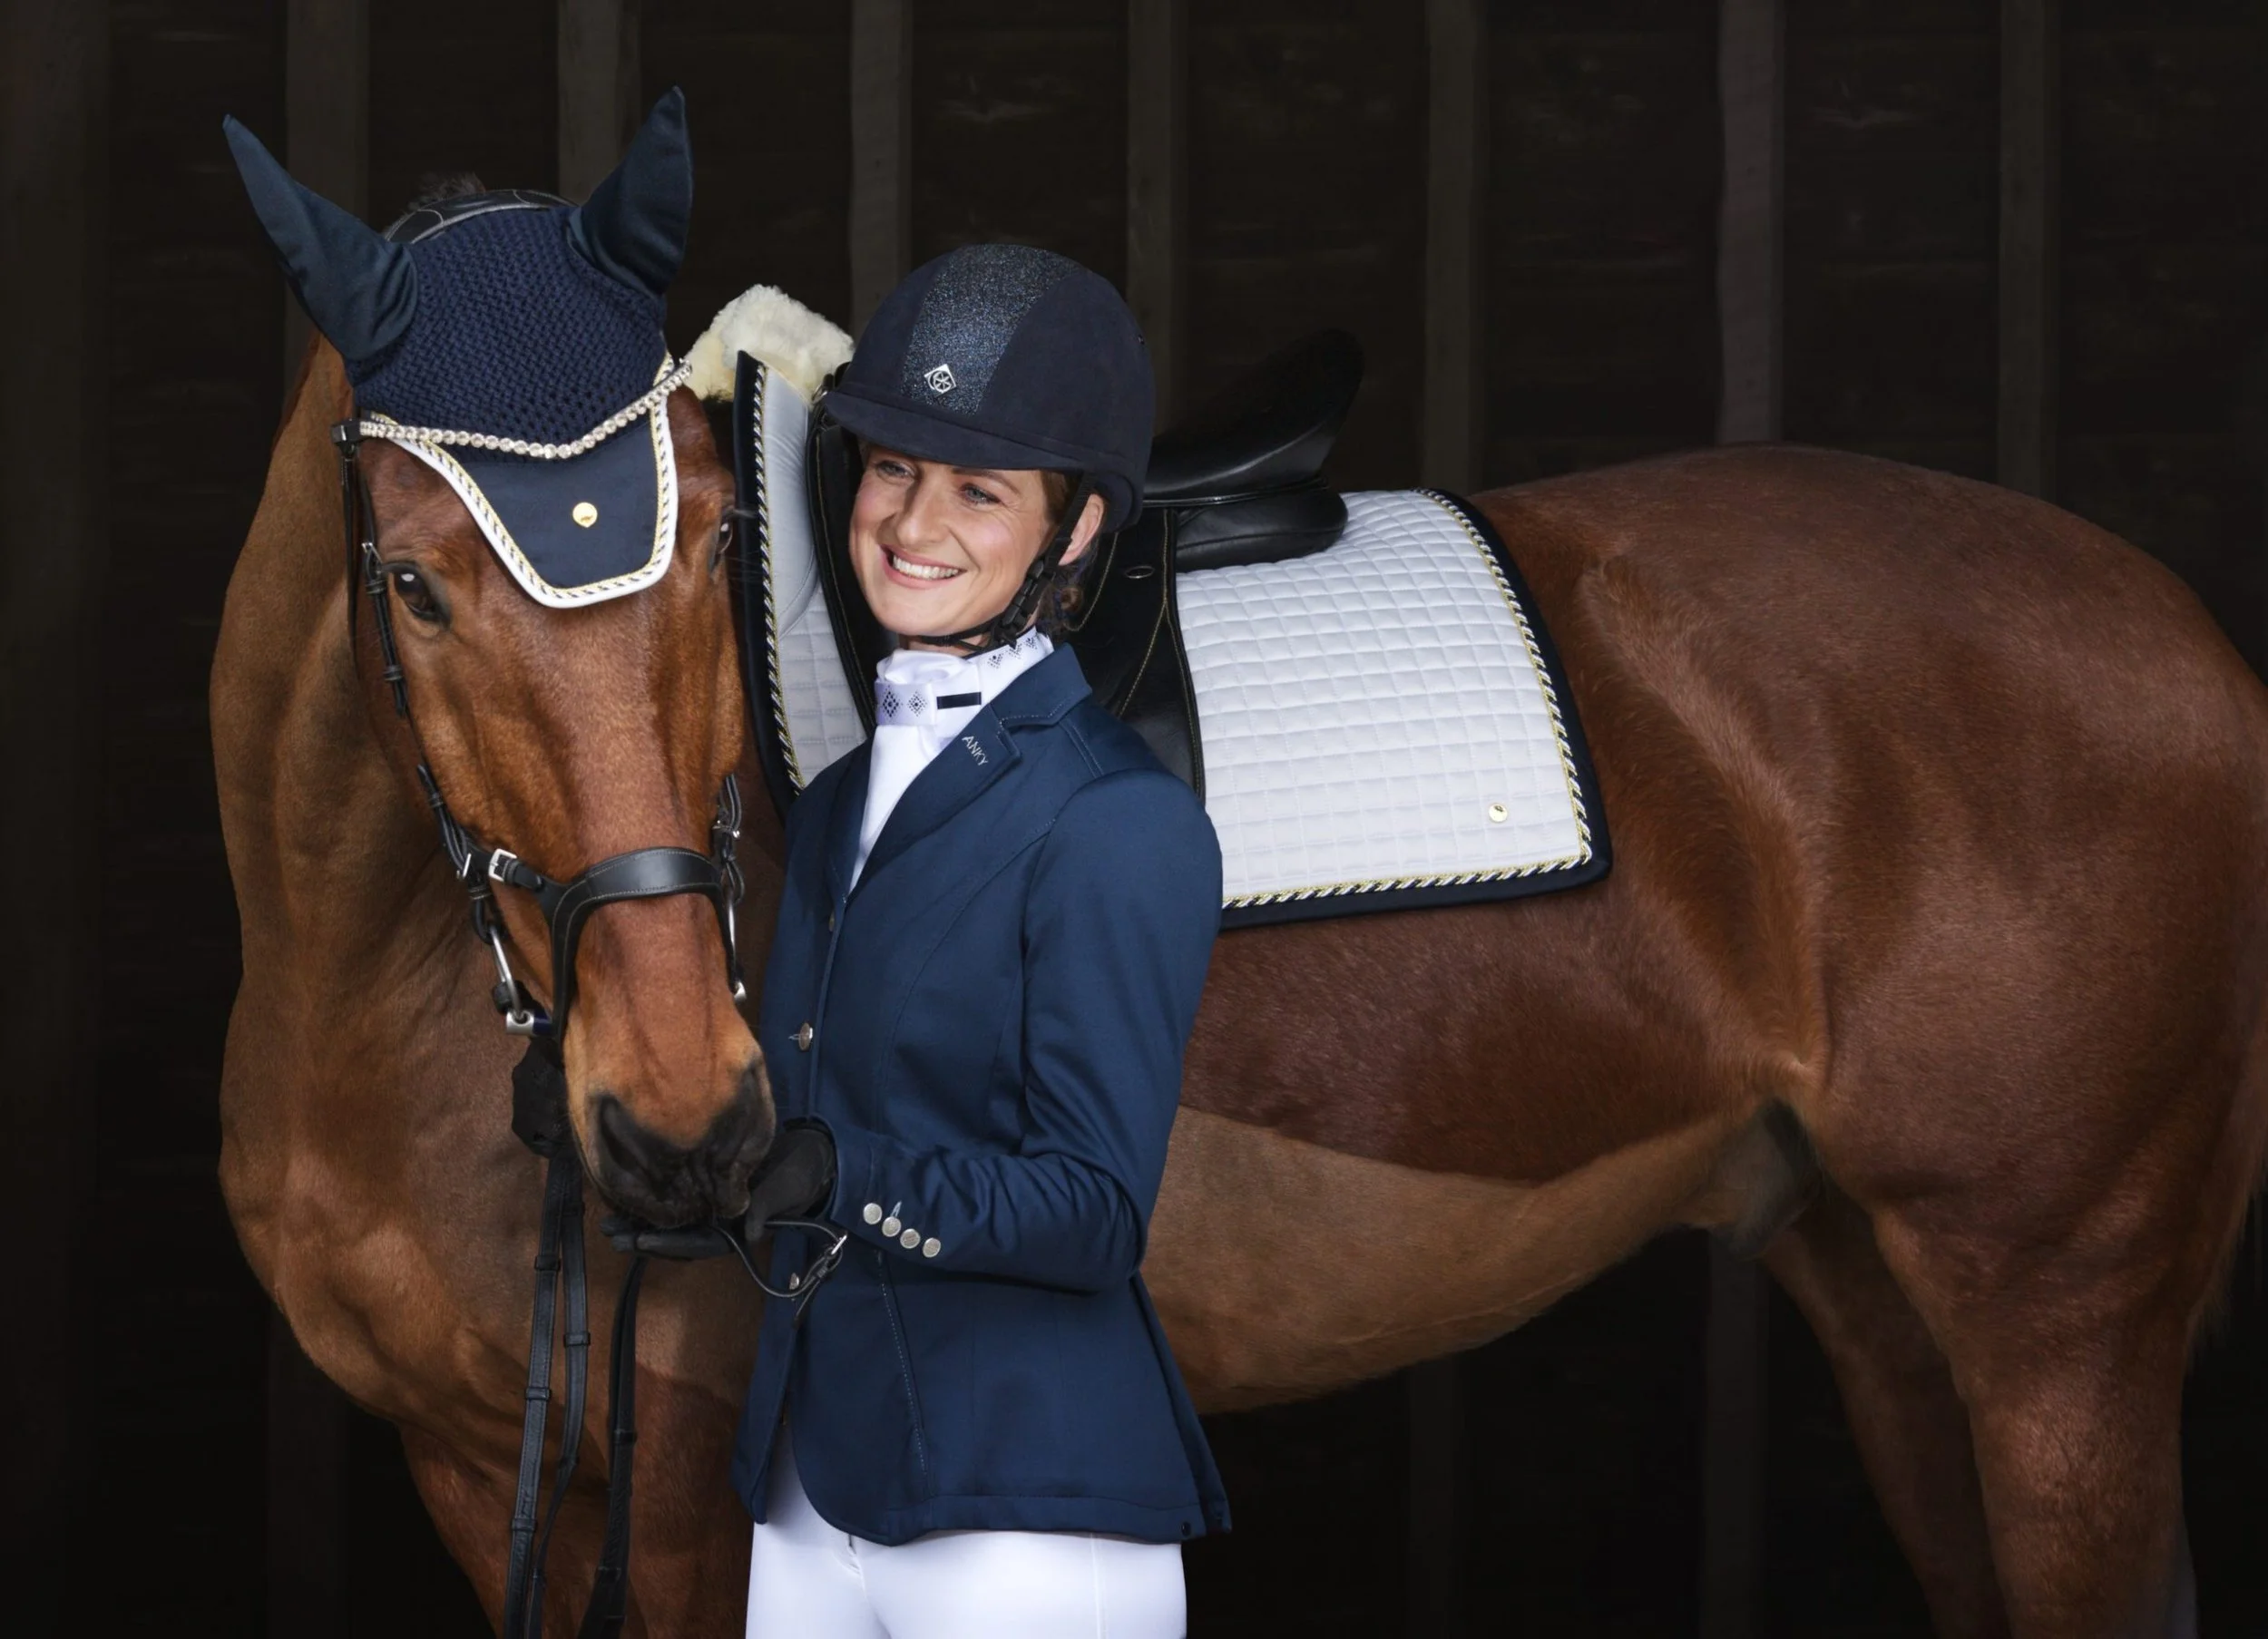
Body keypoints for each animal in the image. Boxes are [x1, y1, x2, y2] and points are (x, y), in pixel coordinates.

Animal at [215, 315, 2268, 1635]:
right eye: (416, 588)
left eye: (712, 558)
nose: (683, 1125)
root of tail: (2186, 636)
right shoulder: (481, 1468)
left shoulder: (685, 1499)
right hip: (1883, 1295)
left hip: (2055, 1324)